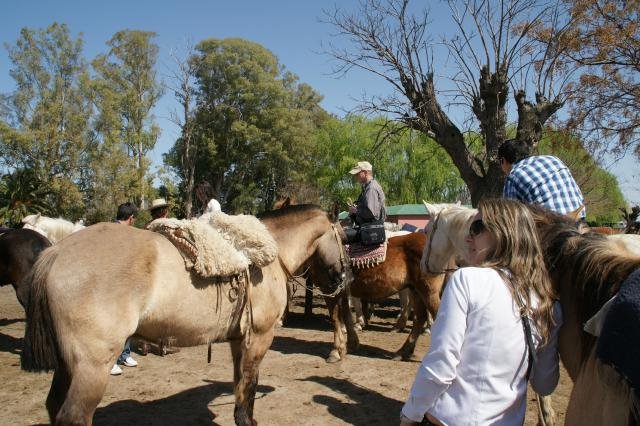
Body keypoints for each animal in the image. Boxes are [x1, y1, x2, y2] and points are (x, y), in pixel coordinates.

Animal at [21, 205, 350, 424]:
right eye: (344, 237)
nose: (342, 277)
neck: (269, 254)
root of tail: (55, 253)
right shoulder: (259, 337)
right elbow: (250, 383)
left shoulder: (238, 340)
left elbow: (239, 383)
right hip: (91, 367)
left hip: (68, 365)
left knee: (53, 405)